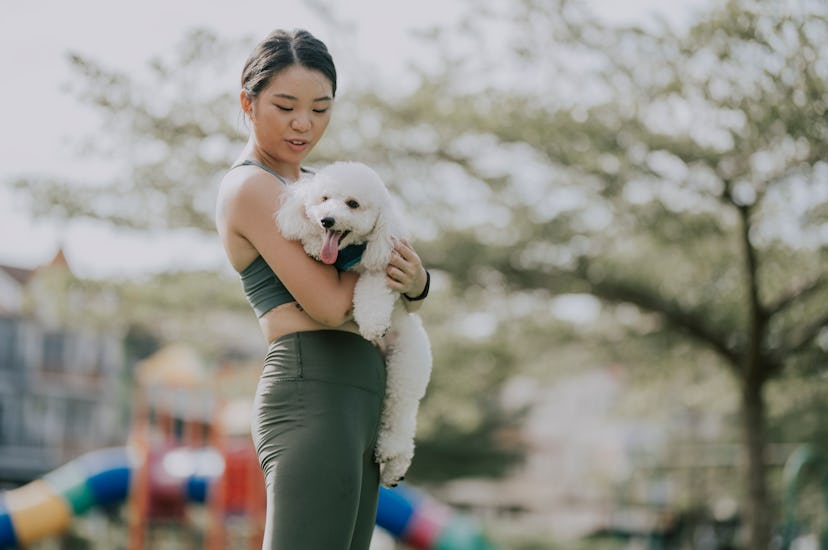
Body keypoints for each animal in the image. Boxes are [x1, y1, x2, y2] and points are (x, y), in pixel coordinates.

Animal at [278, 161, 434, 488]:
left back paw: (392, 458)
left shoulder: (386, 266)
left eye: (353, 204)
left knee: (401, 418)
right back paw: (394, 471)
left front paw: (373, 323)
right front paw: (313, 243)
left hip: (405, 368)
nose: (326, 220)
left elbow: (371, 287)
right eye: (324, 199)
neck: (352, 252)